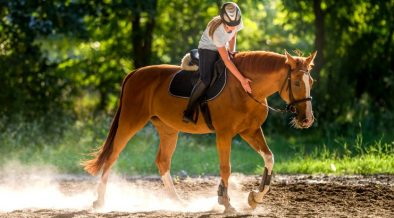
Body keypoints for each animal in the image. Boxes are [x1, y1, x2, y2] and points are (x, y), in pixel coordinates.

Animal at [82, 49, 318, 211]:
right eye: (297, 82)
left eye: (311, 81)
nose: (307, 119)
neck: (245, 88)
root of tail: (135, 73)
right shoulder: (224, 134)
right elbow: (226, 168)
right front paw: (226, 202)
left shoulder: (250, 131)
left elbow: (269, 158)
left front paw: (254, 197)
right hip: (130, 121)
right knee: (112, 156)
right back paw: (99, 201)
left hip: (168, 130)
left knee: (162, 161)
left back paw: (177, 201)